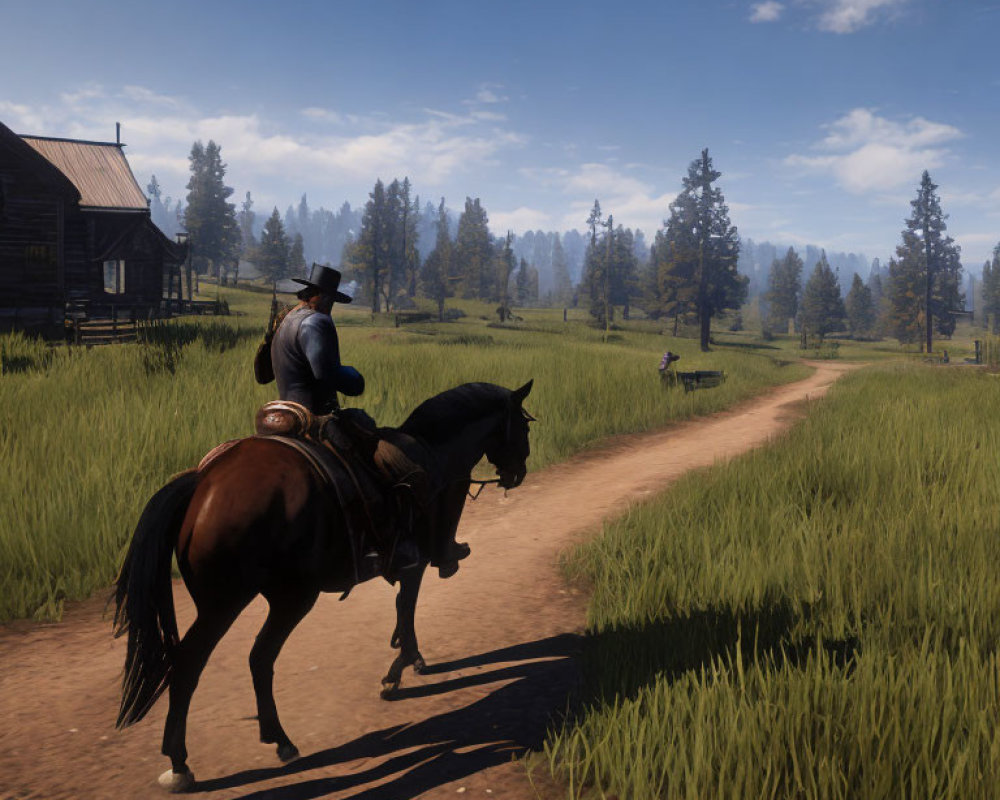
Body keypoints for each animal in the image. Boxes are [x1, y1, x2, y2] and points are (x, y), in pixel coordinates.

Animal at [112, 380, 536, 788]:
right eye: (525, 425)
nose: (518, 474)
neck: (431, 452)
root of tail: (202, 484)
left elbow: (404, 611)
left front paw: (409, 658)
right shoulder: (413, 565)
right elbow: (407, 608)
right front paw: (398, 670)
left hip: (261, 600)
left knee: (244, 660)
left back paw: (263, 741)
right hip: (261, 602)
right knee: (219, 661)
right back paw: (193, 760)